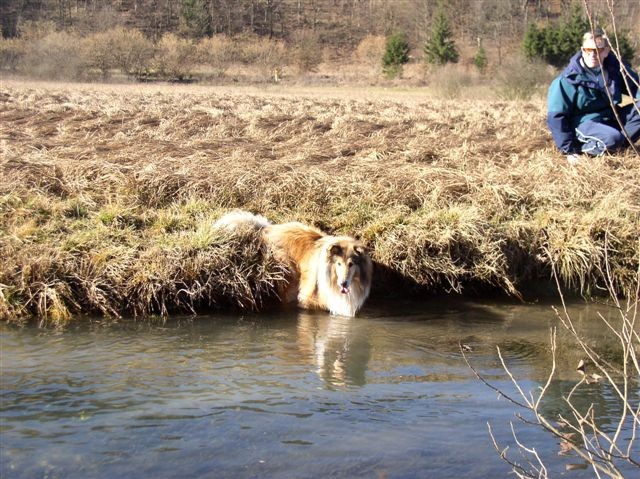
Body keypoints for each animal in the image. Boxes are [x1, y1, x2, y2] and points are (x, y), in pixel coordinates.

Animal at [216, 211, 370, 316]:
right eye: (338, 264)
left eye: (351, 264)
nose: (343, 283)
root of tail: (267, 229)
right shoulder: (308, 298)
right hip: (288, 277)